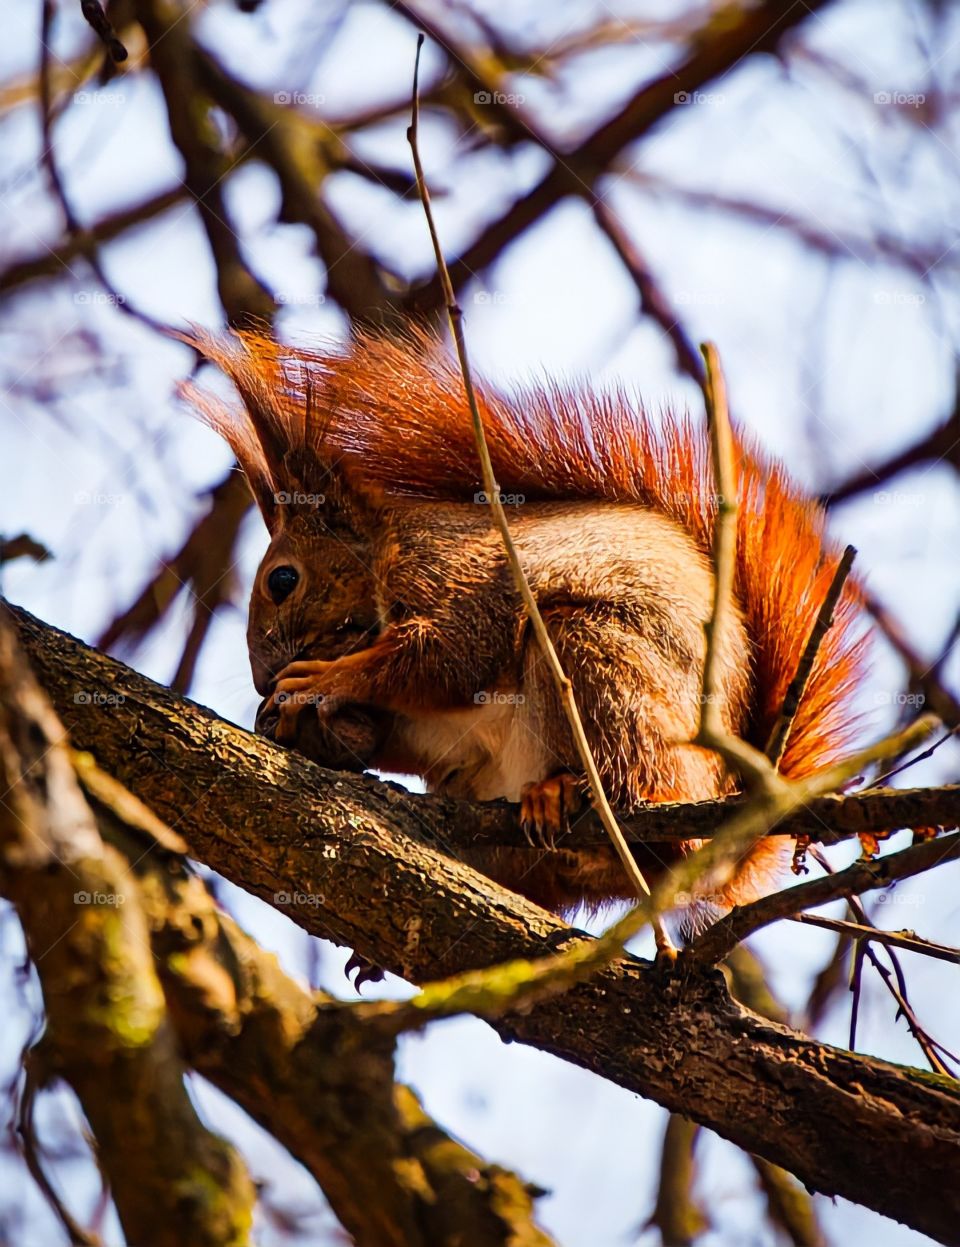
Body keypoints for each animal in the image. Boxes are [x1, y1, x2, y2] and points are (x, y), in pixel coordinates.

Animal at [184, 325, 864, 917]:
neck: (382, 554)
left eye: (281, 581)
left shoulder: (457, 578)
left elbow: (445, 658)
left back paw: (570, 792)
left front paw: (317, 683)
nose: (262, 678)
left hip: (591, 656)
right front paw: (296, 723)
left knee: (664, 829)